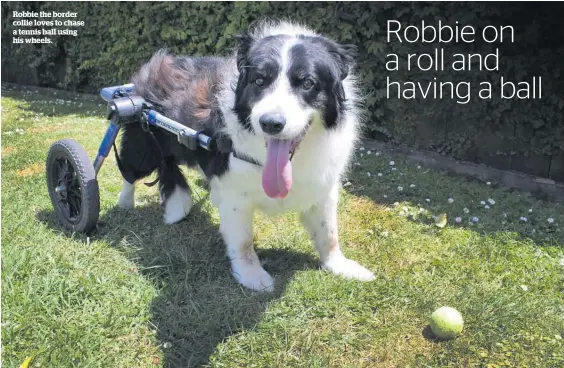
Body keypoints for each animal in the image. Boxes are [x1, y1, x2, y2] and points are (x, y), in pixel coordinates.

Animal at [117, 21, 374, 292]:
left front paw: (340, 265)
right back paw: (125, 202)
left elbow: (329, 233)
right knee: (129, 172)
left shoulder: (322, 187)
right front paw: (252, 276)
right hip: (142, 146)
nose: (271, 123)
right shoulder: (234, 192)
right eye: (259, 80)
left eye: (307, 83)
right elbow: (243, 241)